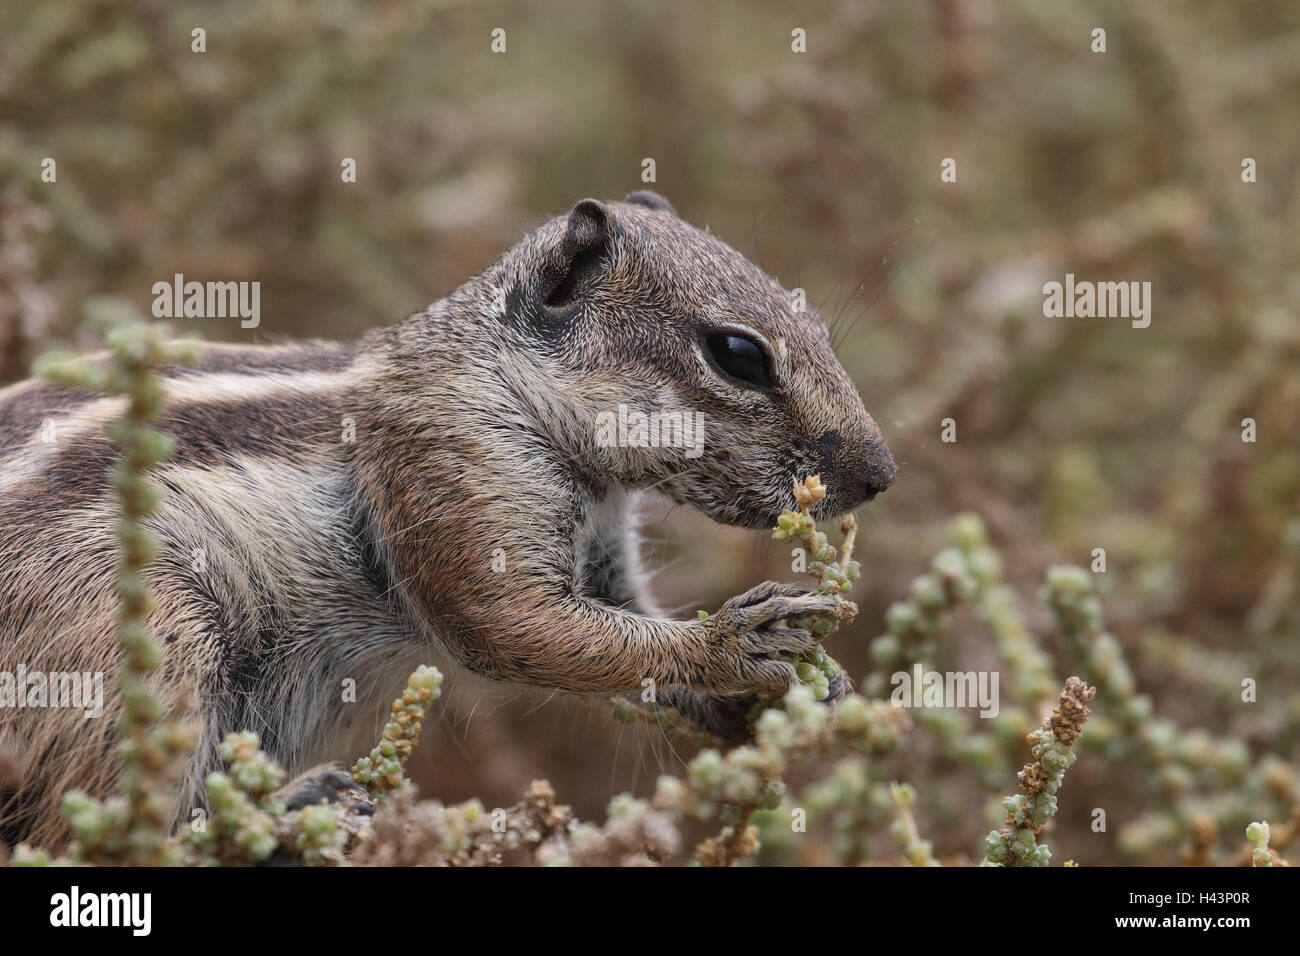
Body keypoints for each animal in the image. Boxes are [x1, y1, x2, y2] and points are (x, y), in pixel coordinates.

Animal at [0, 191, 894, 848]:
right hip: (140, 638)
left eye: (818, 324)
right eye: (739, 355)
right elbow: (511, 624)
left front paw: (786, 694)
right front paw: (734, 642)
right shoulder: (449, 469)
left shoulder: (603, 549)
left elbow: (628, 626)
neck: (496, 377)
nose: (880, 475)